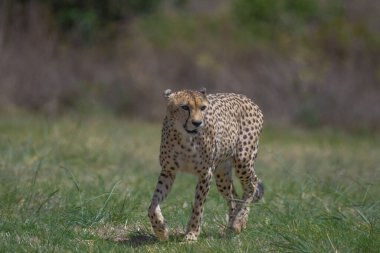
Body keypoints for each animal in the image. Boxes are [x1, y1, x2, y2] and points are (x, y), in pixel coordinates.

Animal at [148, 88, 264, 241]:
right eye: (185, 107)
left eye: (203, 108)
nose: (197, 123)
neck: (185, 138)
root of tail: (247, 99)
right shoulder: (168, 171)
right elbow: (153, 204)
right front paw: (161, 229)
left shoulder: (205, 173)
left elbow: (198, 206)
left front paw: (191, 234)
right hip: (221, 175)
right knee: (233, 196)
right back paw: (232, 226)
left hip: (243, 160)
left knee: (252, 183)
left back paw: (239, 221)